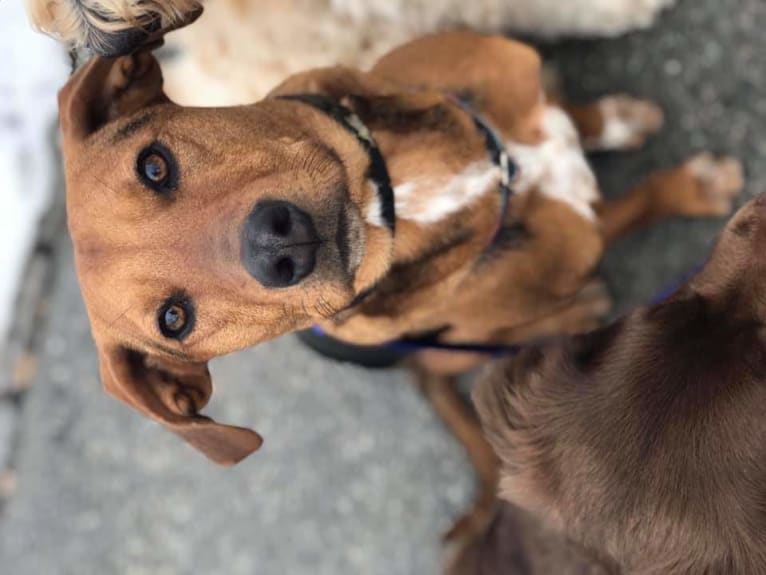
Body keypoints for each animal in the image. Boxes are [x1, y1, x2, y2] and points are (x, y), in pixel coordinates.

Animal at [57, 31, 740, 552]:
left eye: (154, 165)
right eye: (175, 320)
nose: (276, 246)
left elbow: (574, 117)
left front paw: (618, 120)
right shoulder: (586, 230)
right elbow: (628, 205)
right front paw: (695, 187)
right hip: (461, 340)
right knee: (453, 356)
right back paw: (579, 308)